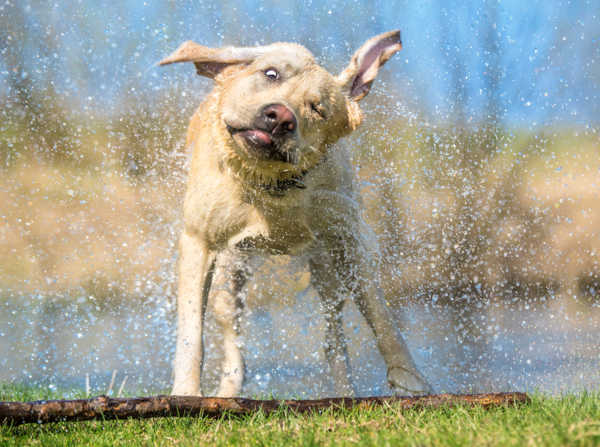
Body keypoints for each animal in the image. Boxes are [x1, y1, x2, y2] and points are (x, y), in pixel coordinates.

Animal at [159, 29, 432, 398]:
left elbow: (381, 317)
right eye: (271, 73)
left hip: (327, 269)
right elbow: (191, 331)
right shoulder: (198, 242)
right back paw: (228, 389)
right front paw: (186, 393)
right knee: (232, 335)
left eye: (317, 108)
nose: (280, 116)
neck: (272, 184)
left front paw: (411, 381)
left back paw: (344, 393)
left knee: (333, 338)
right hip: (230, 274)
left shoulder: (349, 240)